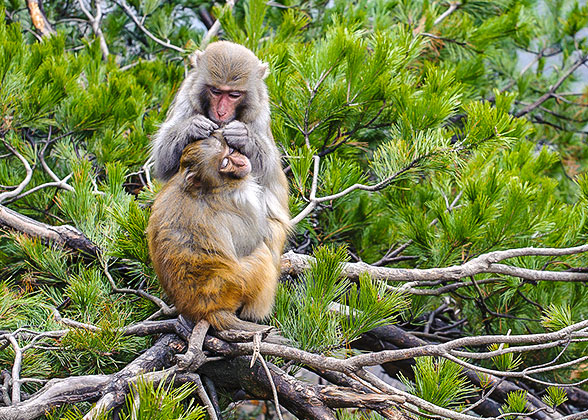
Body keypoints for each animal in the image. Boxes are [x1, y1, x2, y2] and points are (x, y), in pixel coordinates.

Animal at [147, 133, 278, 330]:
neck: (209, 189)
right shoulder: (242, 201)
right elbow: (250, 242)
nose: (241, 162)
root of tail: (207, 310)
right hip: (240, 284)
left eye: (231, 151)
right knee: (261, 254)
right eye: (224, 162)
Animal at [150, 41, 290, 270]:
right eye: (216, 91)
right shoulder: (187, 94)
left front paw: (244, 136)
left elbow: (269, 175)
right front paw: (193, 127)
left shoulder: (260, 110)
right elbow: (163, 163)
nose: (221, 112)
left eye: (234, 95)